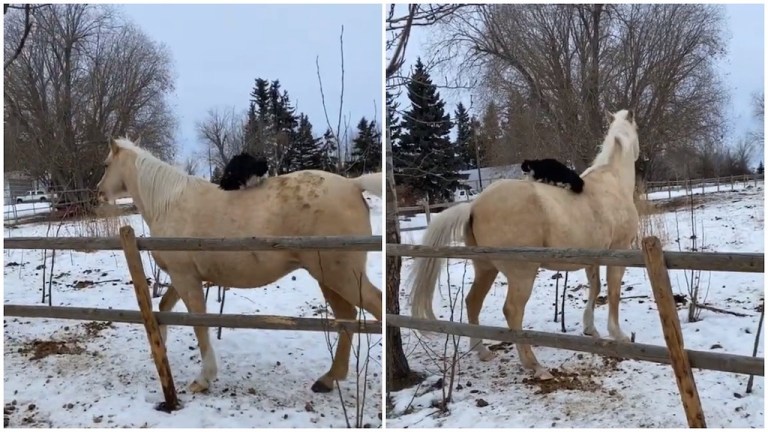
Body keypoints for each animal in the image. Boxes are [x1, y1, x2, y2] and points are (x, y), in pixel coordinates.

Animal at [97, 138, 384, 392]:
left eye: (106, 164)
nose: (99, 191)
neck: (169, 204)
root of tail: (352, 185)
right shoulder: (184, 278)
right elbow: (164, 308)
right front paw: (160, 349)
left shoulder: (186, 279)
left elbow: (198, 324)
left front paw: (204, 379)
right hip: (328, 277)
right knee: (347, 317)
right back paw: (328, 379)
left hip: (342, 276)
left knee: (375, 306)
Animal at [412, 109, 640, 380]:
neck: (612, 183)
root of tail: (474, 205)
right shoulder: (619, 251)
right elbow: (613, 293)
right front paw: (618, 334)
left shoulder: (592, 258)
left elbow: (594, 290)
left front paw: (590, 329)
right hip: (522, 274)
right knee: (512, 311)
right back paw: (536, 366)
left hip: (486, 268)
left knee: (472, 302)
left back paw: (482, 351)